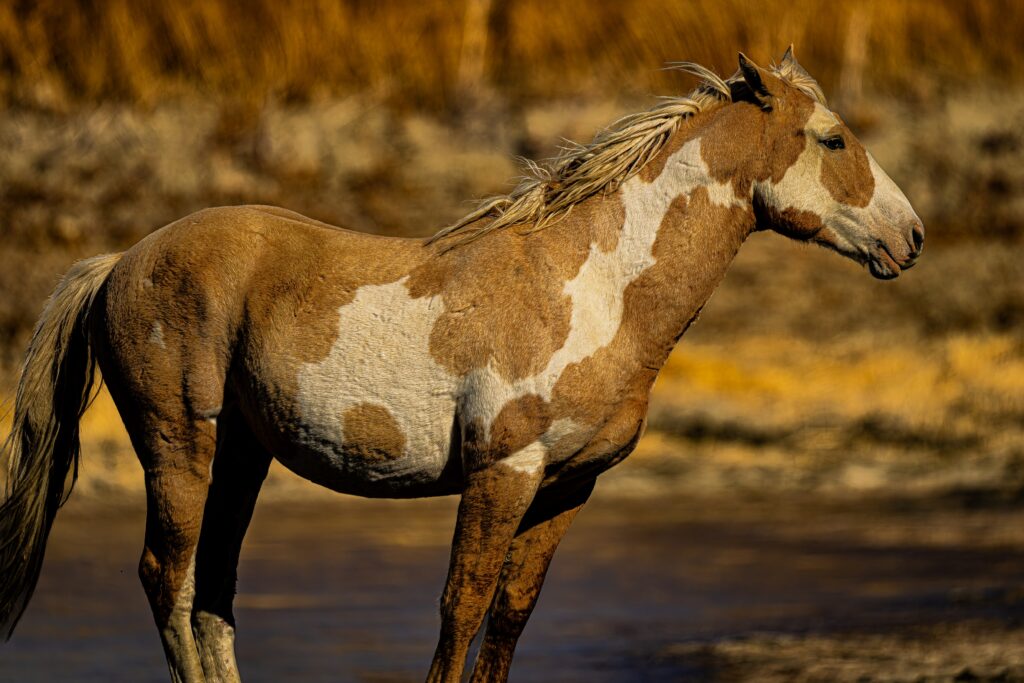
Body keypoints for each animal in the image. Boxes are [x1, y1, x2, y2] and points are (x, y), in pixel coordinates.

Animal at [0, 49, 925, 683]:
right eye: (832, 138)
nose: (910, 237)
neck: (590, 289)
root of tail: (121, 261)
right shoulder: (501, 473)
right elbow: (462, 606)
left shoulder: (567, 485)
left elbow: (509, 615)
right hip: (179, 444)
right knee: (170, 575)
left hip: (241, 454)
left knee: (211, 589)